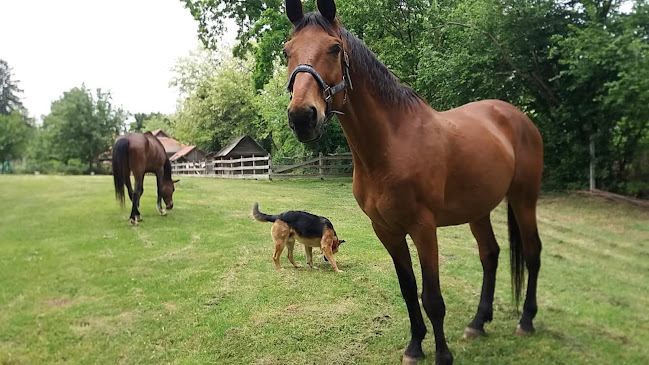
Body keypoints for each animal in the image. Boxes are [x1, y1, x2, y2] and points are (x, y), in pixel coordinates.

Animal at [282, 1, 540, 362]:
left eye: (334, 48)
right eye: (286, 51)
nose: (303, 117)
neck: (393, 144)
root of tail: (518, 117)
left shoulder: (423, 228)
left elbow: (432, 298)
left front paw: (443, 355)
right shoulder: (386, 230)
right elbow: (408, 290)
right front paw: (416, 347)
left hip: (524, 199)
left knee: (532, 253)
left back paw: (526, 321)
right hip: (479, 210)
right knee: (490, 255)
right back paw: (478, 323)